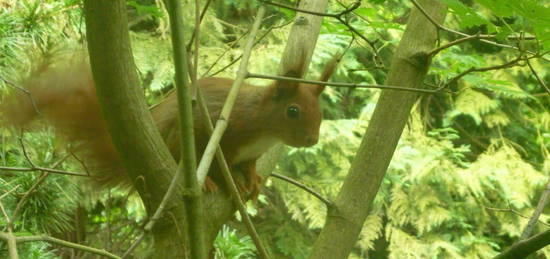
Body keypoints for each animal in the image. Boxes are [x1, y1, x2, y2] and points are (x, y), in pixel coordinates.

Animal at [2, 53, 340, 198]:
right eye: (293, 111)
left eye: (320, 110)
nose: (312, 139)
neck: (264, 130)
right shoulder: (225, 134)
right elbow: (223, 167)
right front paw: (232, 180)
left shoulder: (252, 152)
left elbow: (252, 165)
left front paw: (254, 179)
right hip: (179, 137)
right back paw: (205, 182)